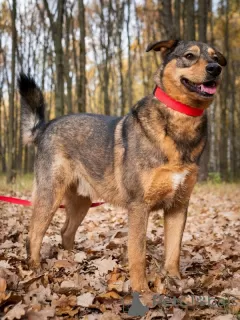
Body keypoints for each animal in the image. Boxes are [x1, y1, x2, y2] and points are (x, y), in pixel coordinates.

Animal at [17, 39, 226, 292]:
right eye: (189, 56)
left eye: (215, 57)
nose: (215, 69)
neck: (180, 120)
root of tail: (45, 127)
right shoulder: (138, 206)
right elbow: (137, 255)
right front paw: (142, 291)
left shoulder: (178, 206)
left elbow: (173, 253)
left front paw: (175, 282)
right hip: (50, 196)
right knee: (33, 235)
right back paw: (35, 270)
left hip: (81, 202)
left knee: (65, 232)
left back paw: (72, 260)